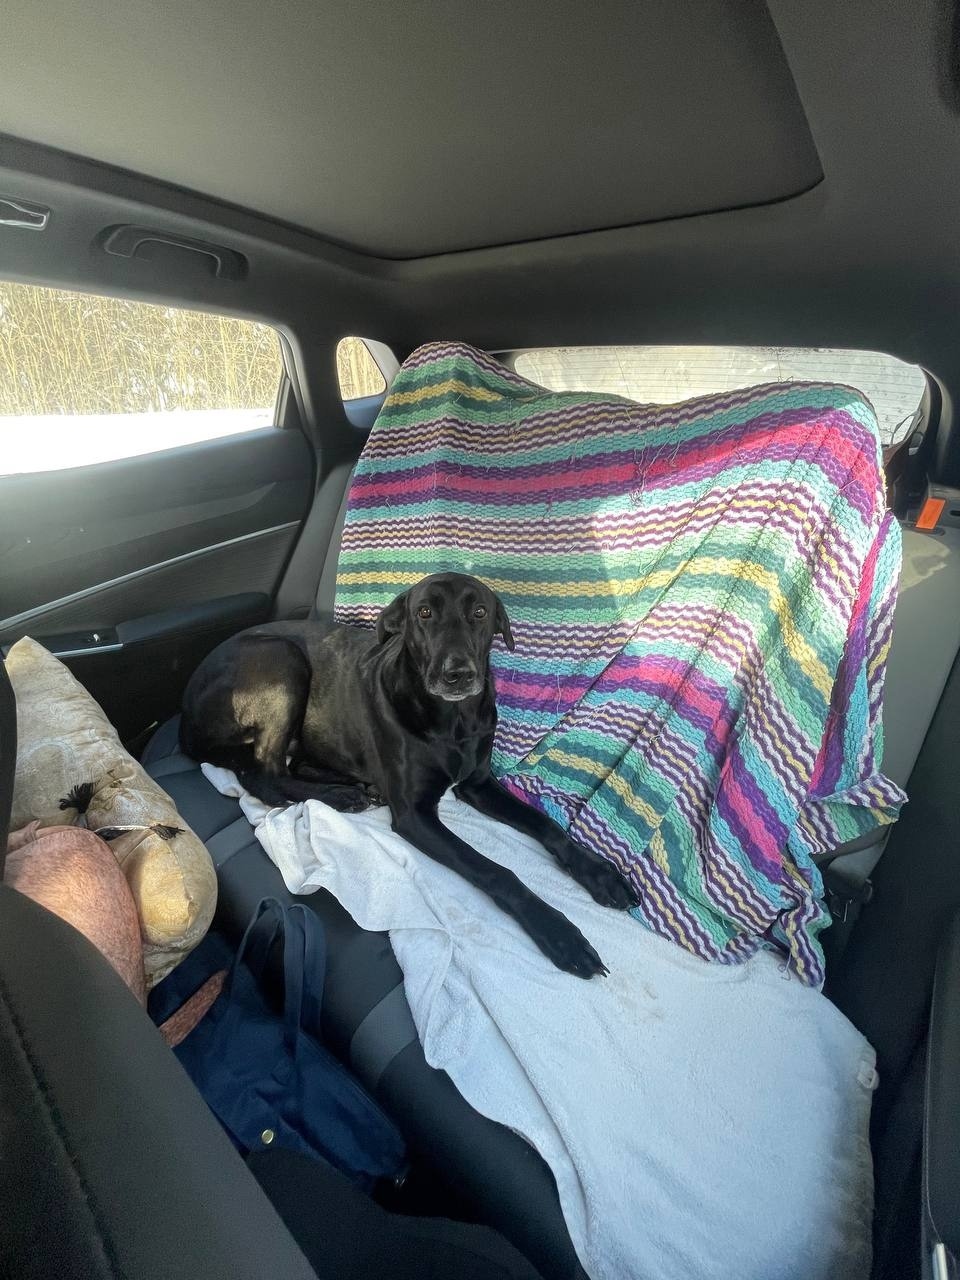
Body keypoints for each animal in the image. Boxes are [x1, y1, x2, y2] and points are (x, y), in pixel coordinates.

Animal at [180, 572, 639, 977]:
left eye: (479, 612)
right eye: (423, 612)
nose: (458, 674)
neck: (454, 720)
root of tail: (186, 718)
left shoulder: (479, 785)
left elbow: (548, 827)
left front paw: (599, 873)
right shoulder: (415, 815)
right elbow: (496, 871)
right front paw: (559, 933)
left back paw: (350, 785)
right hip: (282, 660)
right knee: (263, 774)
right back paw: (340, 795)